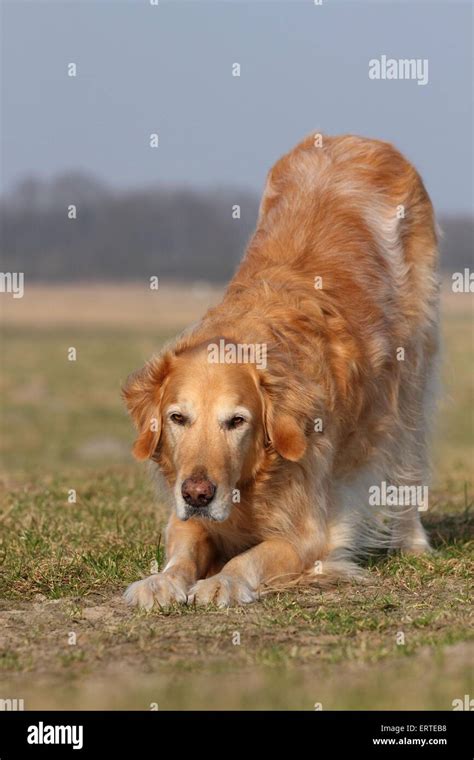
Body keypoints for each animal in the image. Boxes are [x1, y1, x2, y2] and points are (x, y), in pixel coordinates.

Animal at [123, 135, 440, 612]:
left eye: (237, 421)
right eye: (178, 418)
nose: (197, 494)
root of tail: (354, 138)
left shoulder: (310, 533)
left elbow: (253, 556)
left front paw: (223, 582)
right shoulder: (185, 516)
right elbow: (182, 546)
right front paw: (159, 581)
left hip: (412, 375)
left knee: (408, 460)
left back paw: (412, 542)